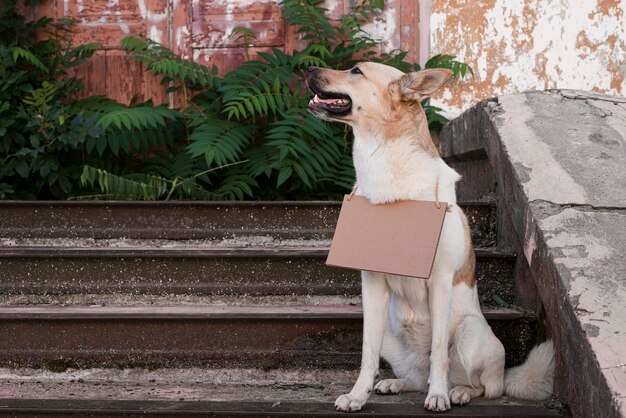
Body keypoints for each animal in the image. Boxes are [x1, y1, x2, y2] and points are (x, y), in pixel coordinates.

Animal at [304, 63, 552, 414]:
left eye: (356, 70)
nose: (308, 67)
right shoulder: (372, 286)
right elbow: (367, 355)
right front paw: (357, 396)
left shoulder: (440, 281)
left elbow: (439, 355)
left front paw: (438, 397)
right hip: (391, 334)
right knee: (417, 376)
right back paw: (396, 384)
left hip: (469, 333)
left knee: (481, 385)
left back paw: (456, 392)